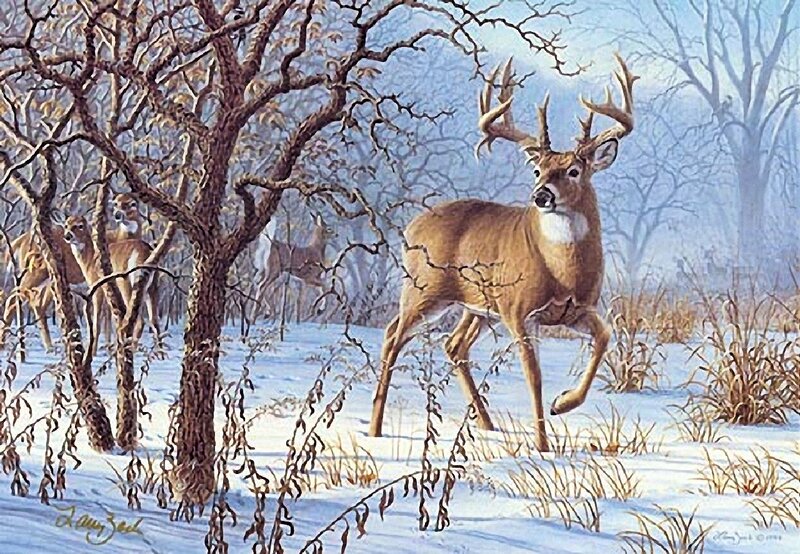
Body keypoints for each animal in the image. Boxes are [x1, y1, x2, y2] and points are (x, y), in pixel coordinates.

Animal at [62, 215, 162, 356]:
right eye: (66, 225)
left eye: (80, 225)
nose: (68, 236)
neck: (90, 259)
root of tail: (145, 252)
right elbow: (111, 319)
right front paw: (109, 347)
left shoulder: (97, 286)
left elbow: (97, 322)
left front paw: (93, 352)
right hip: (153, 286)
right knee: (154, 320)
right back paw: (161, 355)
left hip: (127, 283)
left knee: (139, 320)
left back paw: (131, 350)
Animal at [368, 55, 637, 452]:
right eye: (538, 170)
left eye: (574, 170)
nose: (541, 195)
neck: (563, 272)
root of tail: (411, 225)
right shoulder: (519, 310)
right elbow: (534, 375)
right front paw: (542, 444)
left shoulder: (577, 310)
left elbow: (604, 338)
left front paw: (562, 404)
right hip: (425, 289)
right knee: (392, 337)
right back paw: (375, 429)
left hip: (477, 306)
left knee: (452, 345)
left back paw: (487, 425)